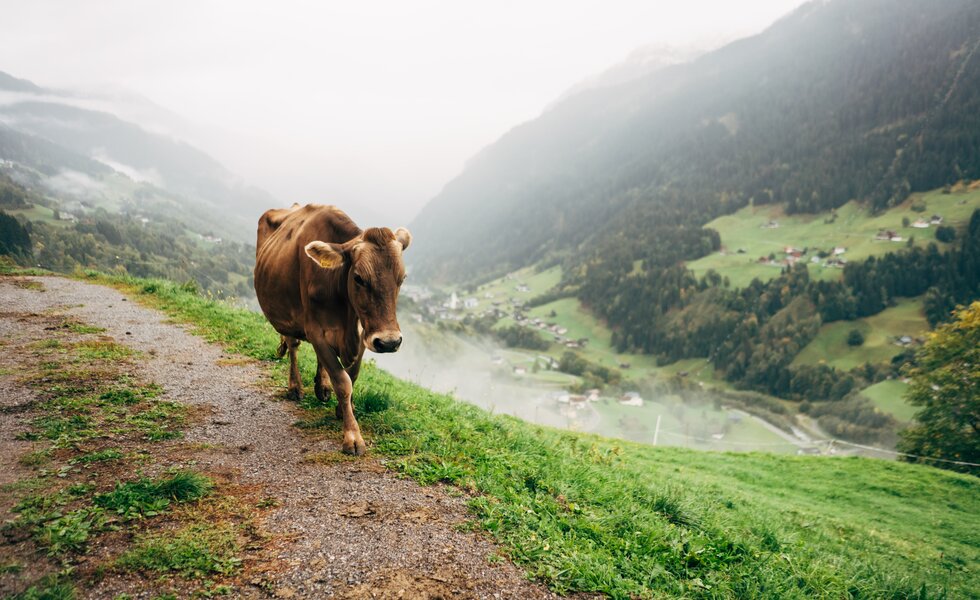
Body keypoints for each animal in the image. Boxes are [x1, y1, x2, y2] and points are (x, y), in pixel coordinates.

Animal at [253, 203, 410, 454]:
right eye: (358, 278)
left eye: (402, 278)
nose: (389, 342)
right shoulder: (315, 330)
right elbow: (342, 381)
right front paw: (352, 436)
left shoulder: (363, 332)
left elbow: (352, 375)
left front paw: (343, 409)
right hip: (287, 315)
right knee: (293, 345)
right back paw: (295, 387)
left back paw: (322, 387)